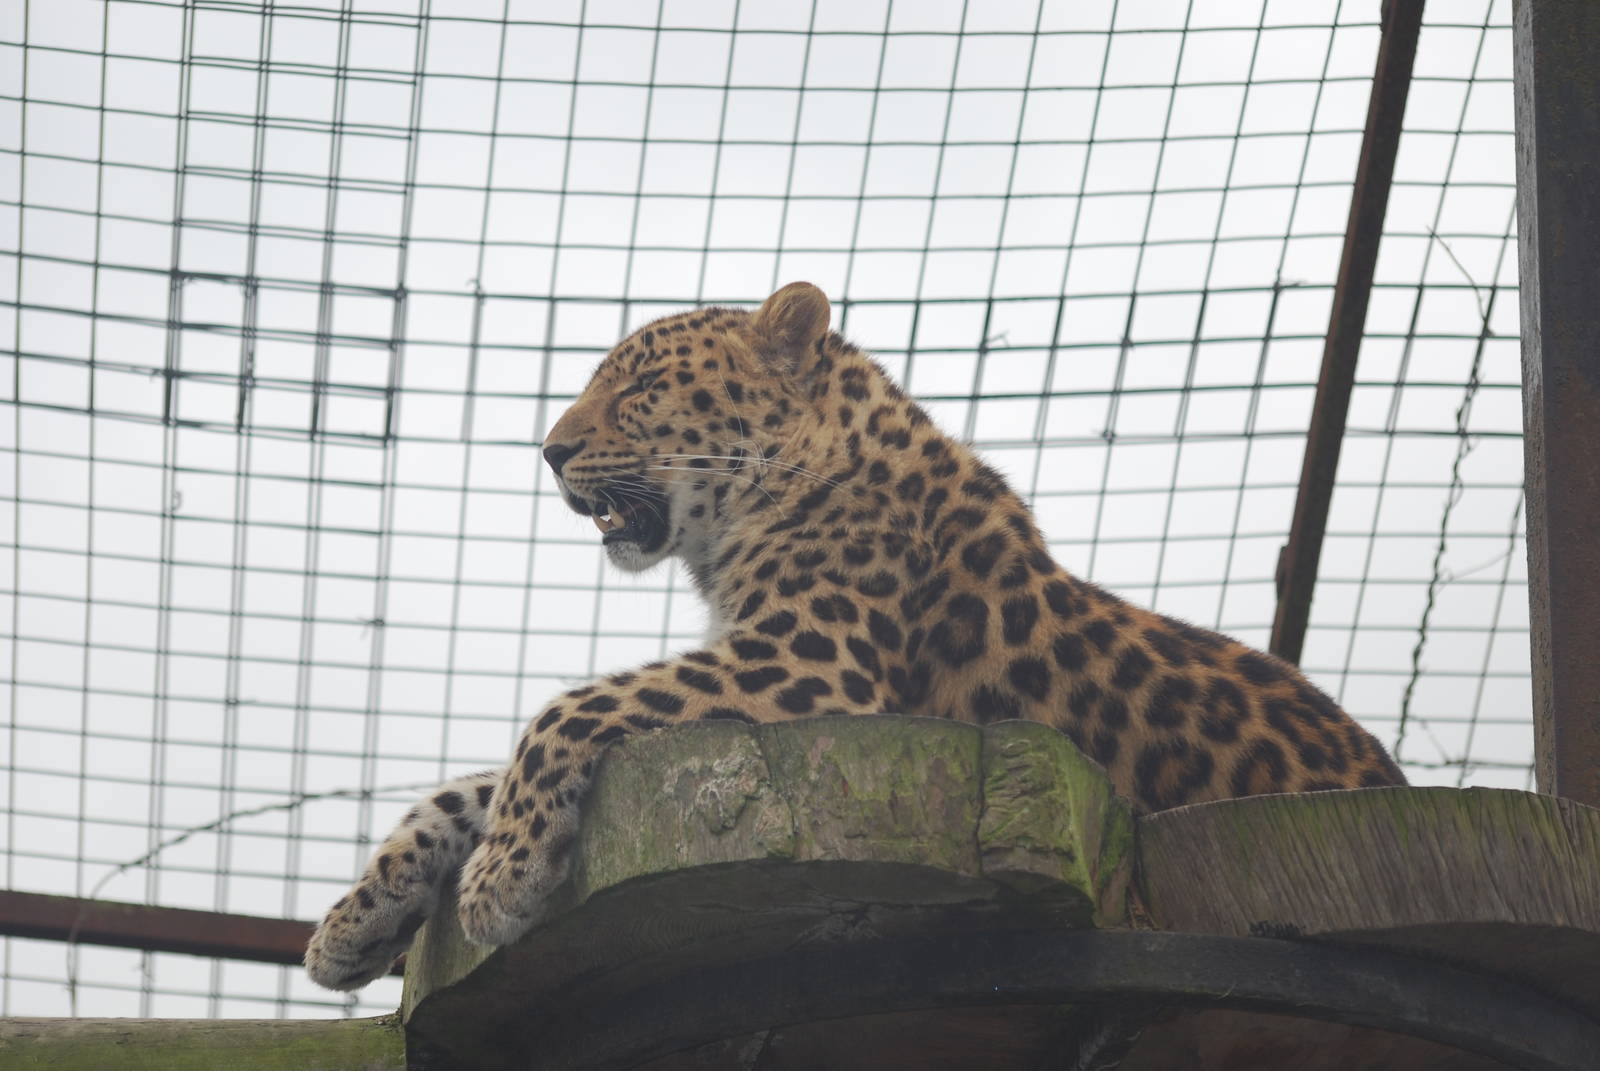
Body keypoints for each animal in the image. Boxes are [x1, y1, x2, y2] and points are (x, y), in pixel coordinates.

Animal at [305, 282, 1405, 990]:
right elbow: (466, 786)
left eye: (639, 388)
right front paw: (353, 923)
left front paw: (499, 881)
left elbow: (565, 710)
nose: (550, 451)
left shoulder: (805, 665)